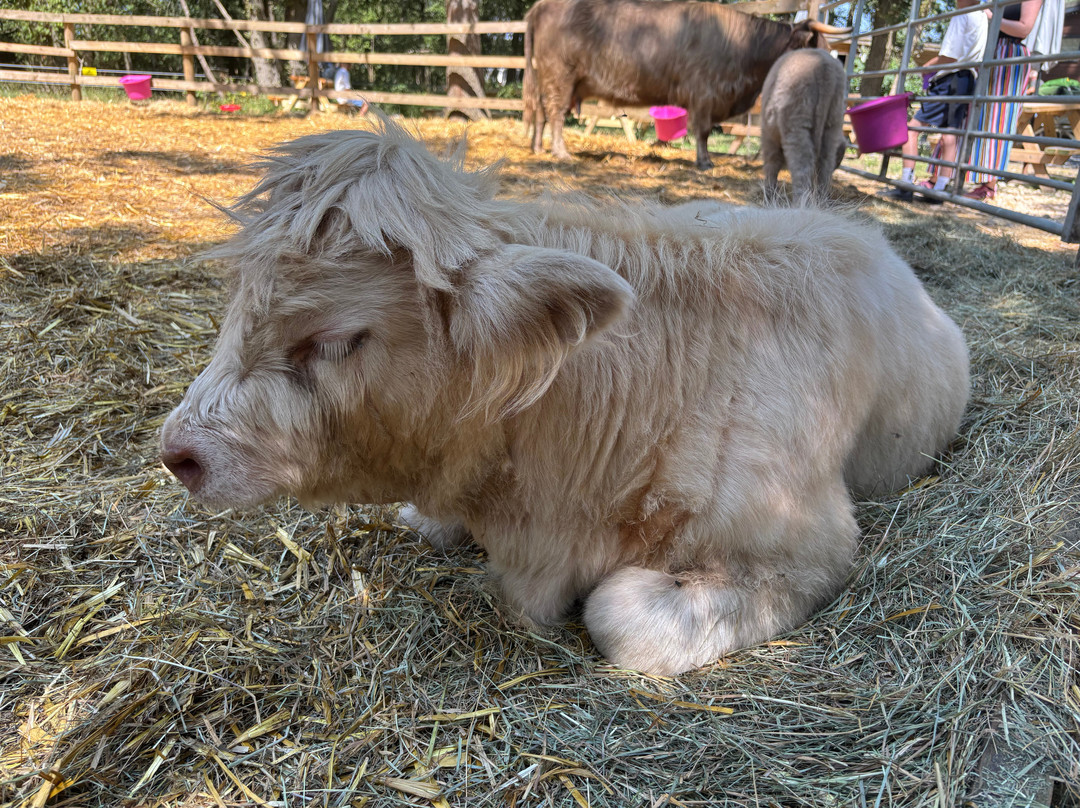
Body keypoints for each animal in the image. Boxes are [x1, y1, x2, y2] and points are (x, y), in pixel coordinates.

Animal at [523, 0, 848, 169]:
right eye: (819, 50)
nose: (839, 76)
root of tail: (543, 4)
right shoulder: (704, 94)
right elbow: (702, 131)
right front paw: (704, 162)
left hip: (546, 78)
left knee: (540, 112)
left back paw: (538, 148)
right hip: (560, 76)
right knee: (555, 113)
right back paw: (560, 153)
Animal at [760, 48, 849, 198]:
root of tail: (825, 67)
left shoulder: (769, 138)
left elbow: (772, 164)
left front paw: (769, 193)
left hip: (796, 123)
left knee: (802, 168)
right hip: (832, 123)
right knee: (825, 164)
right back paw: (820, 199)